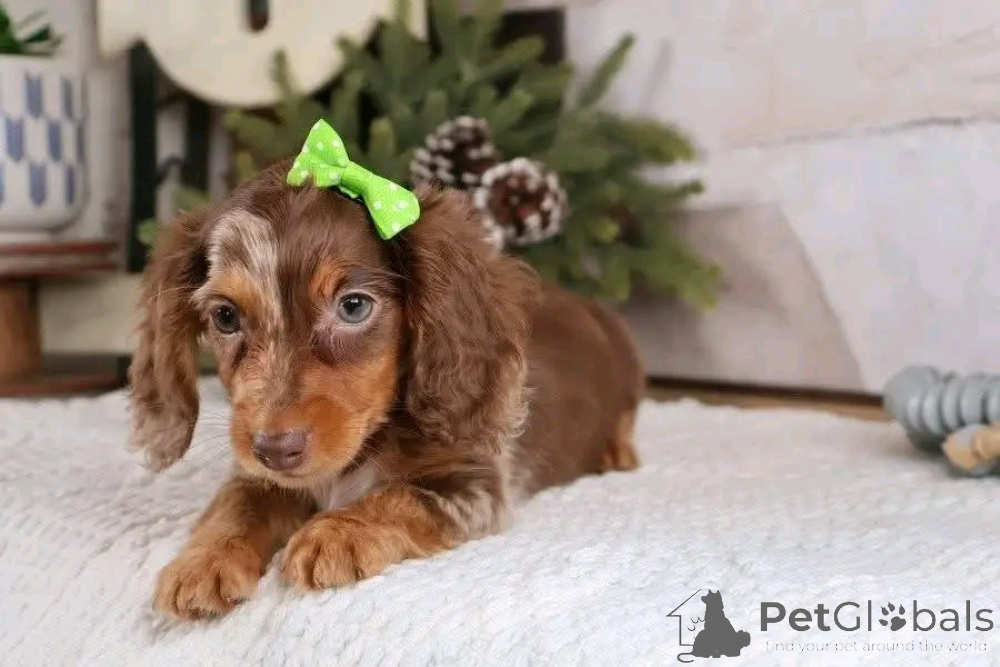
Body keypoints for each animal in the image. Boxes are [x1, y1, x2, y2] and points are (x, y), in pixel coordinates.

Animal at [129, 160, 643, 620]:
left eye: (354, 306)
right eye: (225, 316)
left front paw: (338, 530)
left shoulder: (476, 485)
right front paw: (203, 560)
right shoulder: (258, 476)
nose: (275, 449)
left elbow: (402, 497)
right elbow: (237, 503)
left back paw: (618, 452)